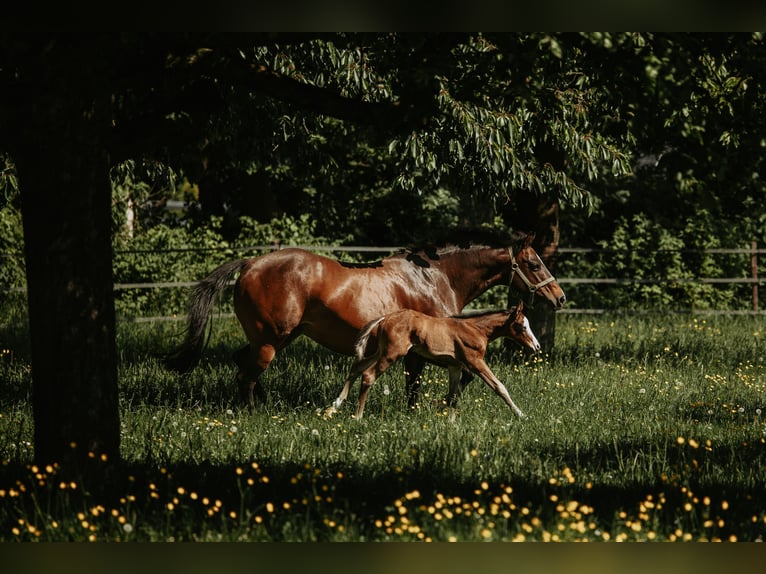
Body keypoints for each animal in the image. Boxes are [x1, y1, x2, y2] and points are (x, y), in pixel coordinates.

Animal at [166, 230, 565, 408]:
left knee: (241, 364)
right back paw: (255, 412)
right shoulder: (425, 350)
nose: (559, 297)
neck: (434, 277)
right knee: (247, 376)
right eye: (533, 263)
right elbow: (419, 385)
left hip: (277, 338)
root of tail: (250, 263)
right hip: (269, 341)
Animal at [325, 303, 540, 420]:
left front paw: (449, 420)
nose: (536, 347)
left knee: (356, 367)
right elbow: (499, 387)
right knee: (368, 375)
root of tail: (384, 318)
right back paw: (358, 416)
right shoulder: (475, 362)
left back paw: (334, 406)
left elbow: (453, 394)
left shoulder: (455, 366)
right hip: (391, 354)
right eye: (522, 326)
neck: (476, 329)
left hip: (380, 352)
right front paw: (521, 415)